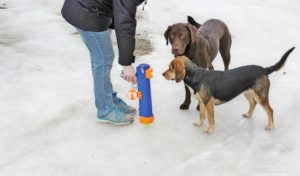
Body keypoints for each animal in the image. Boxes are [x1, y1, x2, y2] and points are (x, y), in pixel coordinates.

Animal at [163, 47, 294, 133]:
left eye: (170, 68)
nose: (162, 74)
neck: (196, 75)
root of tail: (264, 69)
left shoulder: (208, 103)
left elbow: (210, 118)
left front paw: (209, 129)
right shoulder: (202, 102)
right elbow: (201, 115)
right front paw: (199, 123)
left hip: (261, 96)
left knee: (270, 110)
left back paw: (270, 126)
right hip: (248, 93)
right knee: (253, 103)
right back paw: (248, 114)